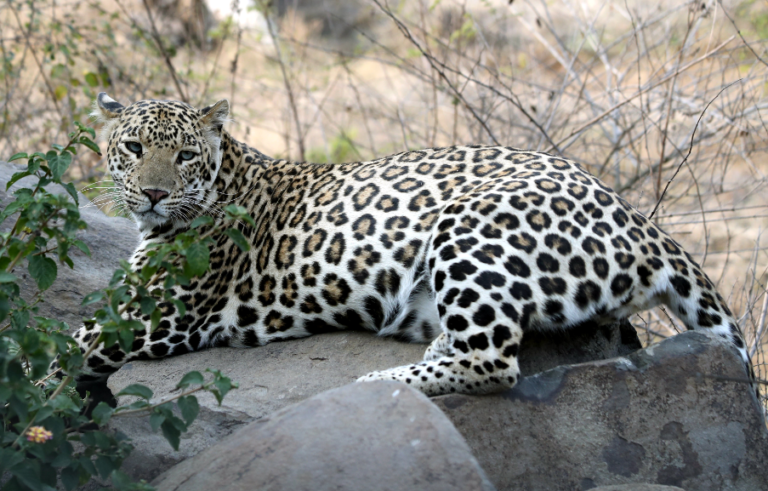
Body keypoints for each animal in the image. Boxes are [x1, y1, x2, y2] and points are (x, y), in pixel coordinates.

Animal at [66, 93, 756, 400]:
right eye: (133, 148)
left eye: (184, 154)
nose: (153, 193)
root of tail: (637, 214)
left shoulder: (147, 316)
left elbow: (58, 354)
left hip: (469, 227)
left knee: (492, 363)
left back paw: (376, 381)